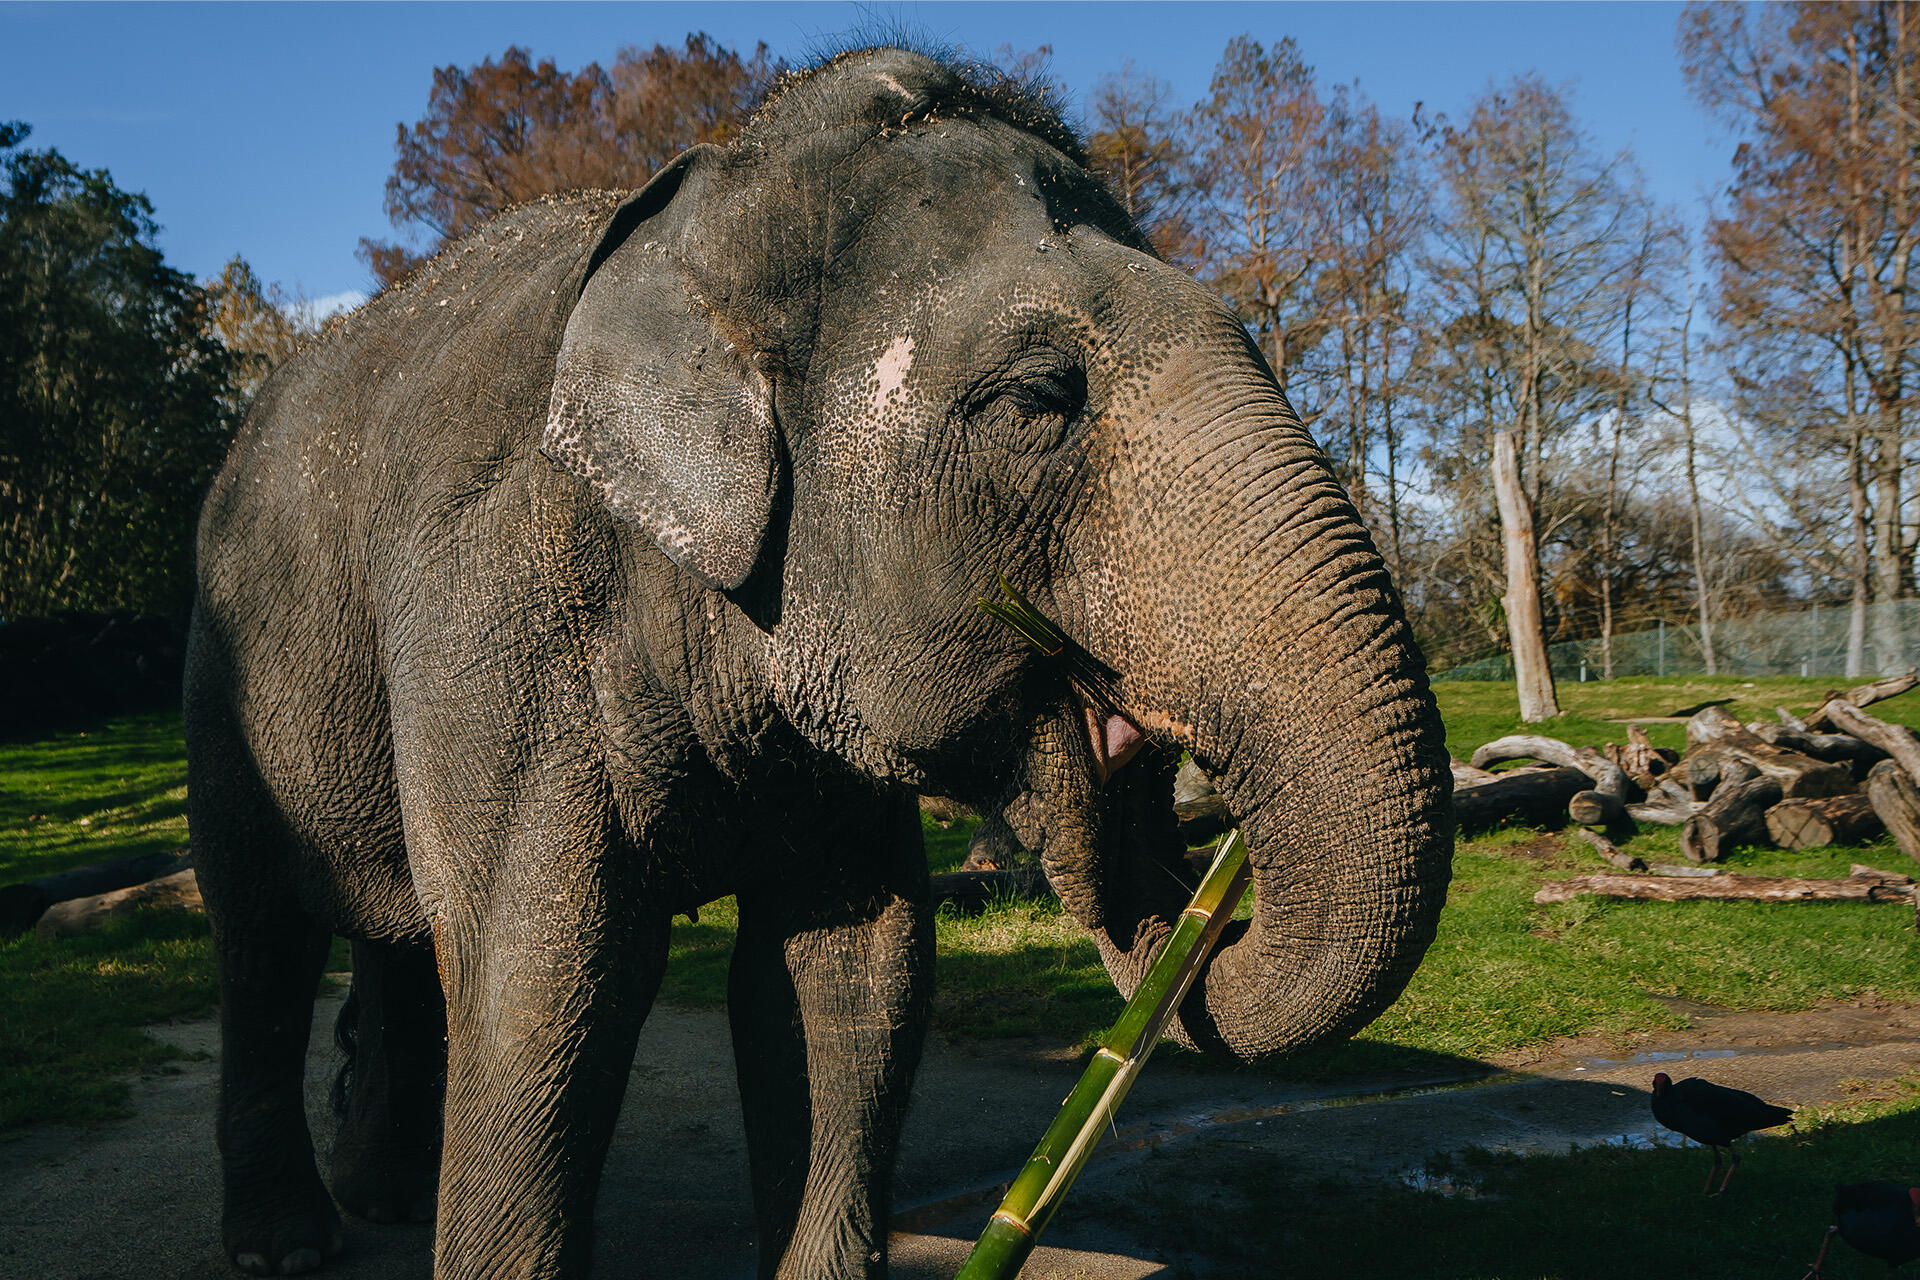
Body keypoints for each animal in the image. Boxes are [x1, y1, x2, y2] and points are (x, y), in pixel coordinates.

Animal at [183, 45, 1451, 1280]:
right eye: (1039, 395)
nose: (1207, 886)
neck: (710, 197)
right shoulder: (505, 619)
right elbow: (544, 973)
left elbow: (856, 967)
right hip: (223, 673)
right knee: (260, 933)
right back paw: (286, 1241)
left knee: (389, 937)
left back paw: (386, 1196)